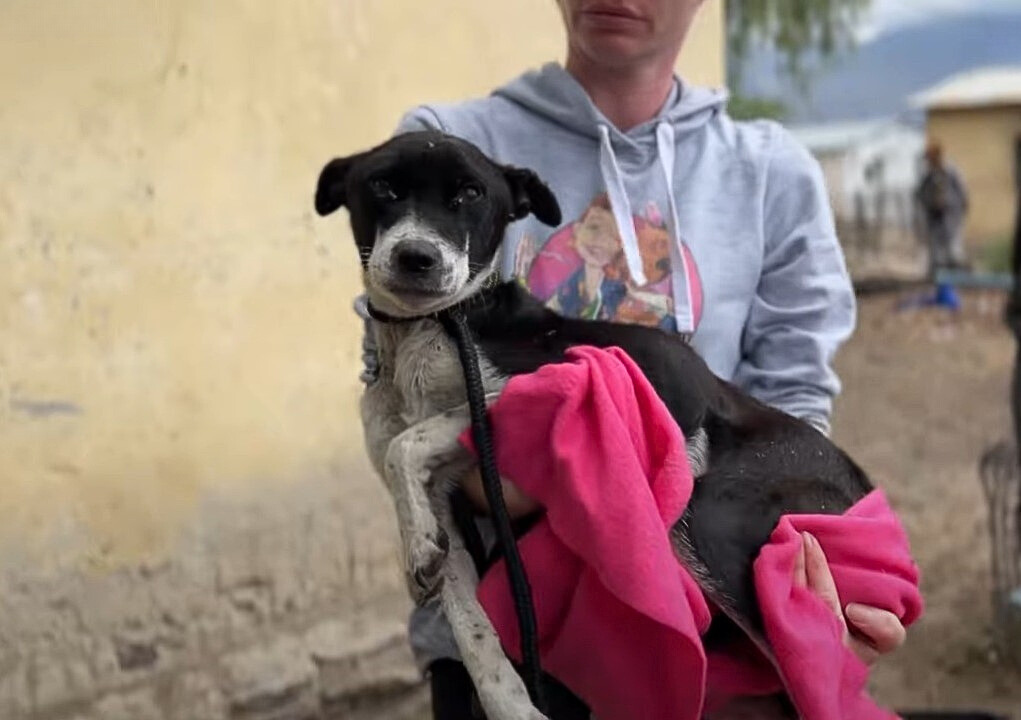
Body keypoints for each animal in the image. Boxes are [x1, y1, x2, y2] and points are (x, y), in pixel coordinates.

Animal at [316, 131, 878, 714]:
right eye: (382, 185)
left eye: (471, 192)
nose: (416, 257)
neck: (433, 329)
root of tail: (862, 485)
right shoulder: (448, 505)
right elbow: (471, 627)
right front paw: (510, 702)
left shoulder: (567, 382)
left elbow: (406, 443)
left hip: (712, 516)